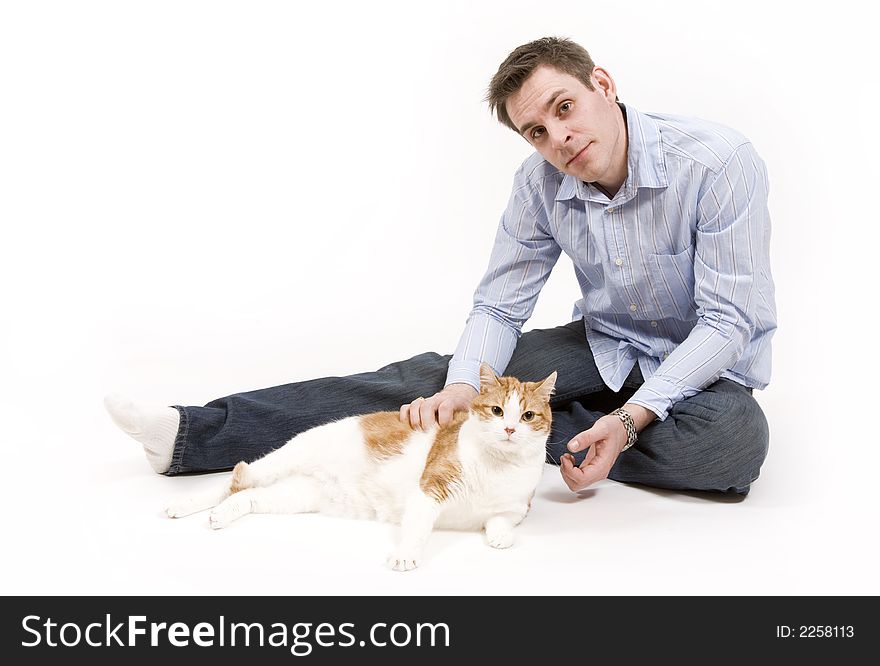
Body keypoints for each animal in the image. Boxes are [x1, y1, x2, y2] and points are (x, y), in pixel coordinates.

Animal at [163, 360, 556, 568]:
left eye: (527, 416)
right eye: (497, 411)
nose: (509, 429)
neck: (497, 467)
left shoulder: (513, 509)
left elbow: (501, 523)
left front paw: (500, 538)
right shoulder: (429, 490)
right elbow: (418, 528)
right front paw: (405, 556)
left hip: (294, 495)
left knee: (245, 496)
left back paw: (220, 514)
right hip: (279, 462)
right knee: (231, 482)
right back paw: (182, 506)